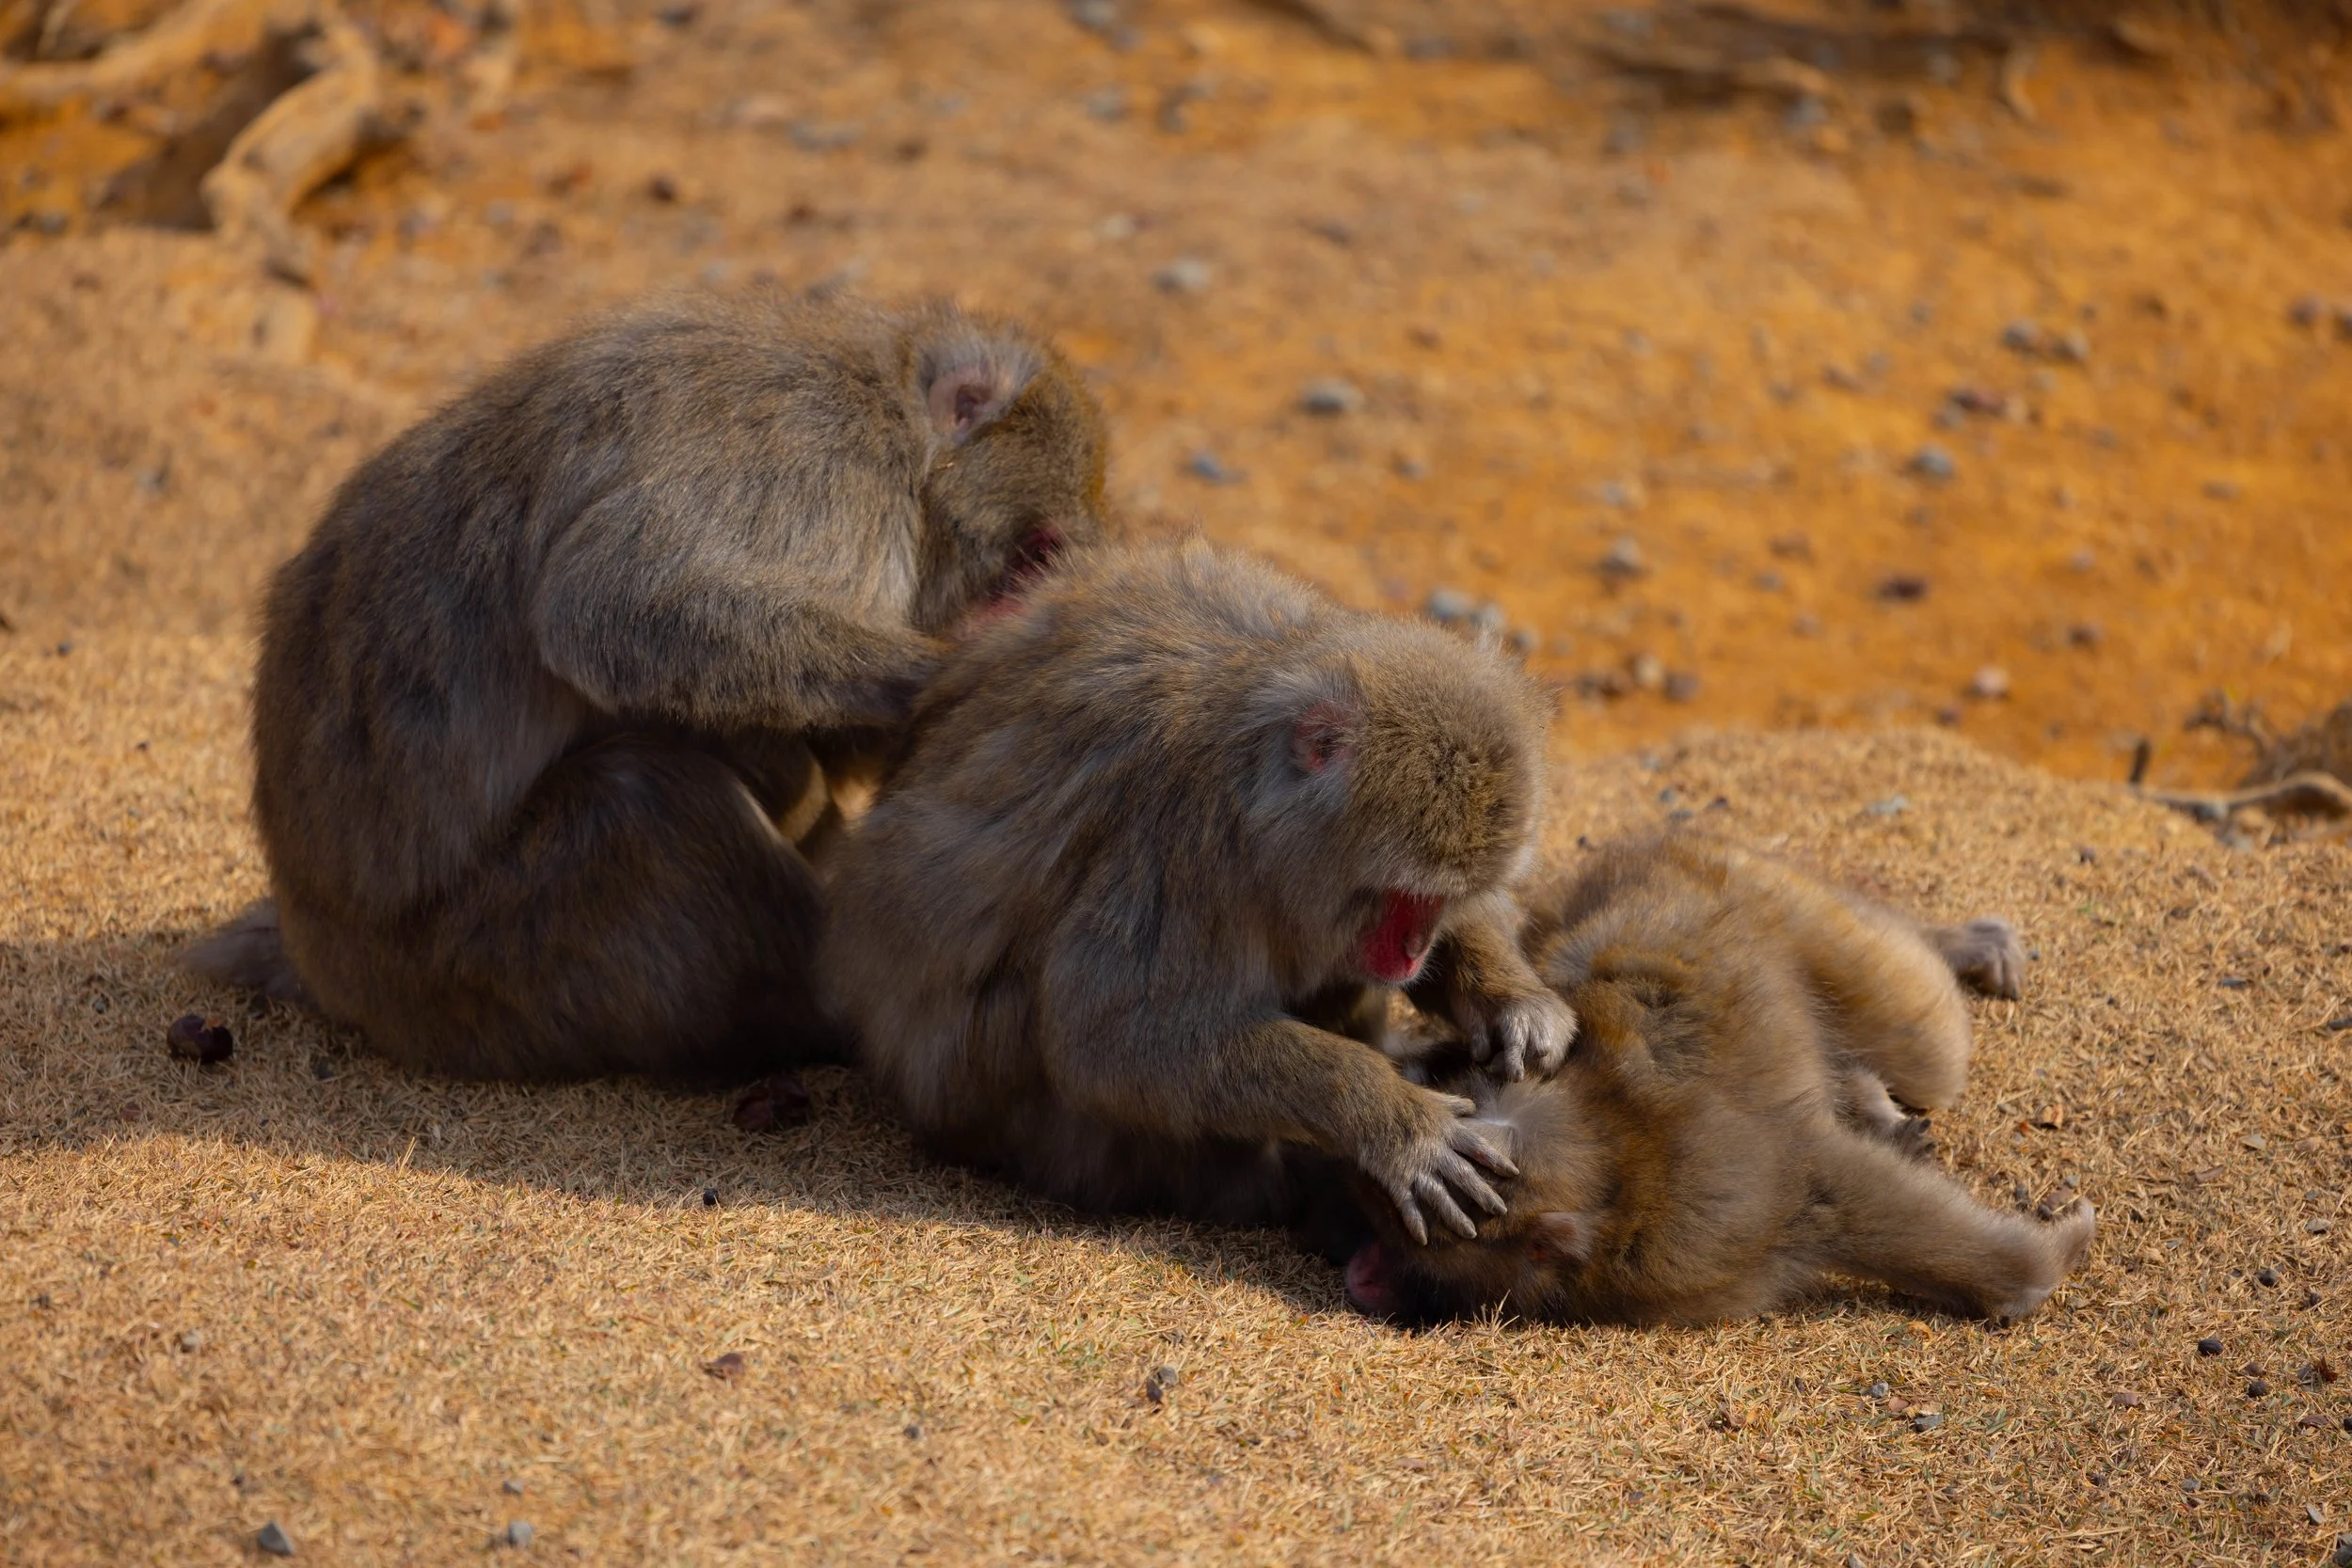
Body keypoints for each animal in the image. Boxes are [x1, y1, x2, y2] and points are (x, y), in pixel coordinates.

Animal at [183, 290, 1109, 1083]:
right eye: (1035, 553)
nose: (1027, 599)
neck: (898, 419)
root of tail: (316, 948)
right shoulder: (819, 464)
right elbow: (609, 603)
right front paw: (957, 668)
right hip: (470, 966)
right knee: (643, 796)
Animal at [819, 538, 1578, 1244]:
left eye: (1439, 901)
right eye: (1396, 893)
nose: (1415, 948)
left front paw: (1513, 1002)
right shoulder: (1187, 838)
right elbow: (1110, 1038)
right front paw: (1390, 1116)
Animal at [1338, 835, 2096, 1326]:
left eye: (1402, 1245)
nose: (1362, 1274)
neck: (1617, 1171)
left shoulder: (1727, 1191)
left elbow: (1845, 1193)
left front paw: (2041, 1263)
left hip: (1775, 891)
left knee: (1929, 1046)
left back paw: (1967, 946)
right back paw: (1867, 1093)